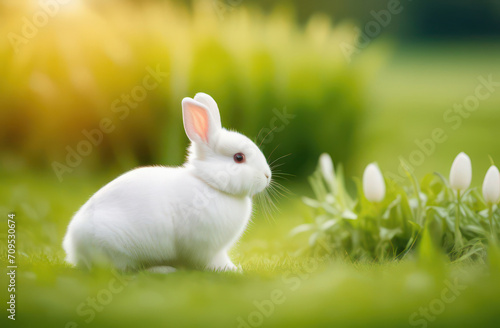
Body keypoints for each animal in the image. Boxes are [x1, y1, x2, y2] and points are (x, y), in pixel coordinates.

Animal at [65, 92, 274, 272]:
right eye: (239, 157)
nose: (267, 176)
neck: (209, 184)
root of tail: (73, 247)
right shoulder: (206, 248)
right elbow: (213, 261)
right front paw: (232, 270)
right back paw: (163, 269)